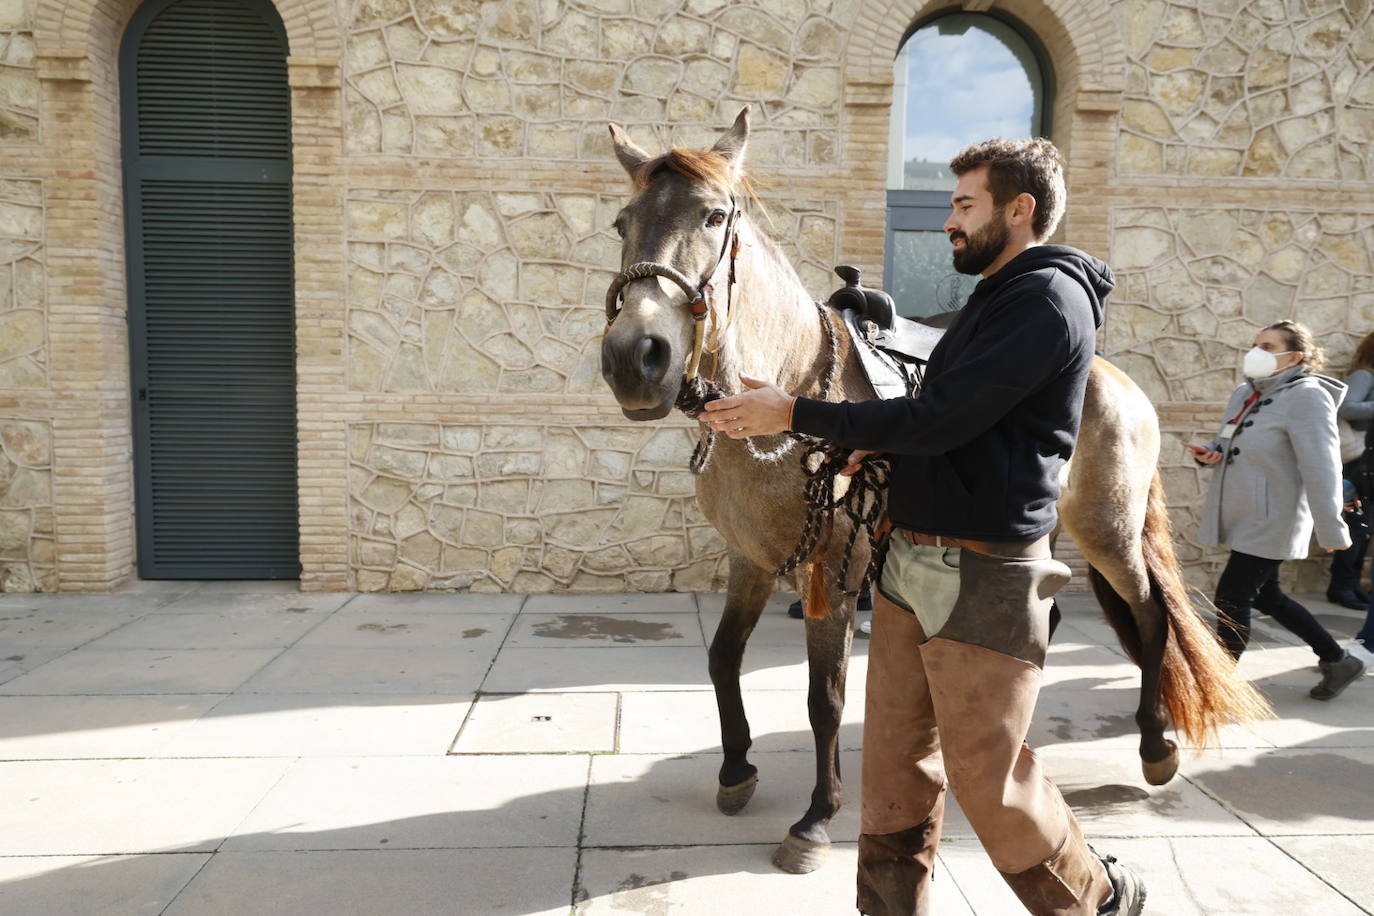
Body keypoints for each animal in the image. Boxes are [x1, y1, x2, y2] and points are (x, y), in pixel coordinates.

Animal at [599, 107, 1264, 873]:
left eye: (713, 216)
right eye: (623, 221)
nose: (634, 357)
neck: (792, 383)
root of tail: (1119, 380)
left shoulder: (834, 572)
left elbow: (826, 698)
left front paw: (817, 818)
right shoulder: (752, 561)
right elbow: (721, 658)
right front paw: (736, 768)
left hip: (1109, 530)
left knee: (1150, 614)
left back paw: (1155, 745)